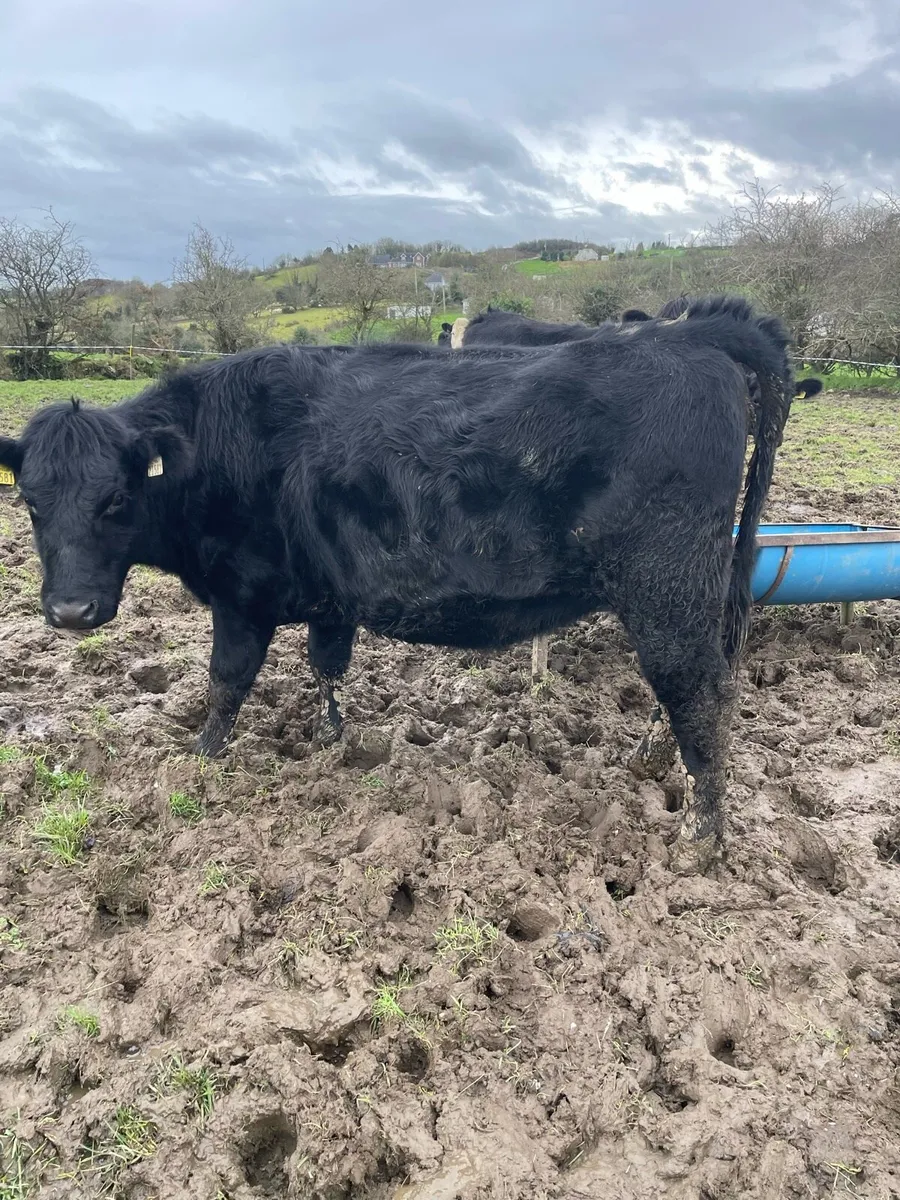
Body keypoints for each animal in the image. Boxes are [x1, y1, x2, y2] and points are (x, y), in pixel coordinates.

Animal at [0, 295, 796, 872]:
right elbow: (327, 665)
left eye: (116, 500)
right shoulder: (327, 595)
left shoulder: (241, 598)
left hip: (668, 585)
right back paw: (653, 764)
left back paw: (701, 839)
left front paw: (197, 764)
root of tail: (691, 335)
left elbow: (226, 681)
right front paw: (333, 742)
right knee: (690, 687)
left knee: (697, 689)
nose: (70, 611)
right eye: (30, 501)